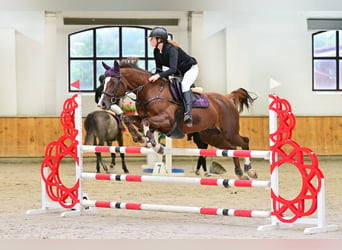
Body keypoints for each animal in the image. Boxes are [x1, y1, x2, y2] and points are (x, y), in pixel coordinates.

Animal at [99, 59, 256, 180]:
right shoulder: (145, 118)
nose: (102, 104)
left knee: (244, 141)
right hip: (212, 136)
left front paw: (156, 146)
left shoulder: (166, 121)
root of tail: (226, 98)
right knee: (232, 148)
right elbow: (127, 118)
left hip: (229, 132)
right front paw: (141, 139)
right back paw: (240, 173)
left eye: (113, 82)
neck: (149, 91)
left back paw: (249, 170)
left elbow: (146, 123)